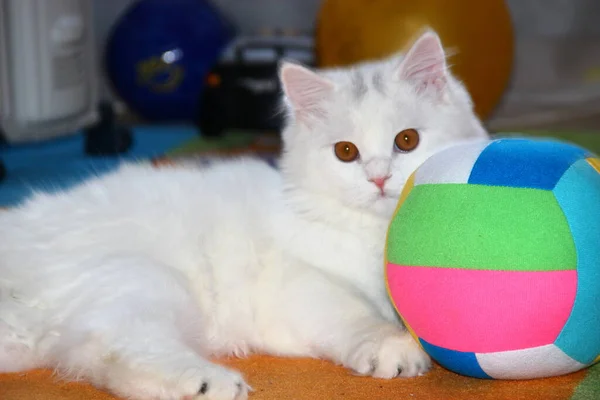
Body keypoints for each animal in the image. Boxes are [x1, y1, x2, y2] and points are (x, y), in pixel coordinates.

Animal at [0, 29, 488, 398]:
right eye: (346, 152)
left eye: (406, 141)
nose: (379, 178)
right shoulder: (294, 284)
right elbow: (354, 312)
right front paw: (392, 345)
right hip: (141, 278)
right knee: (116, 343)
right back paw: (208, 382)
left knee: (96, 359)